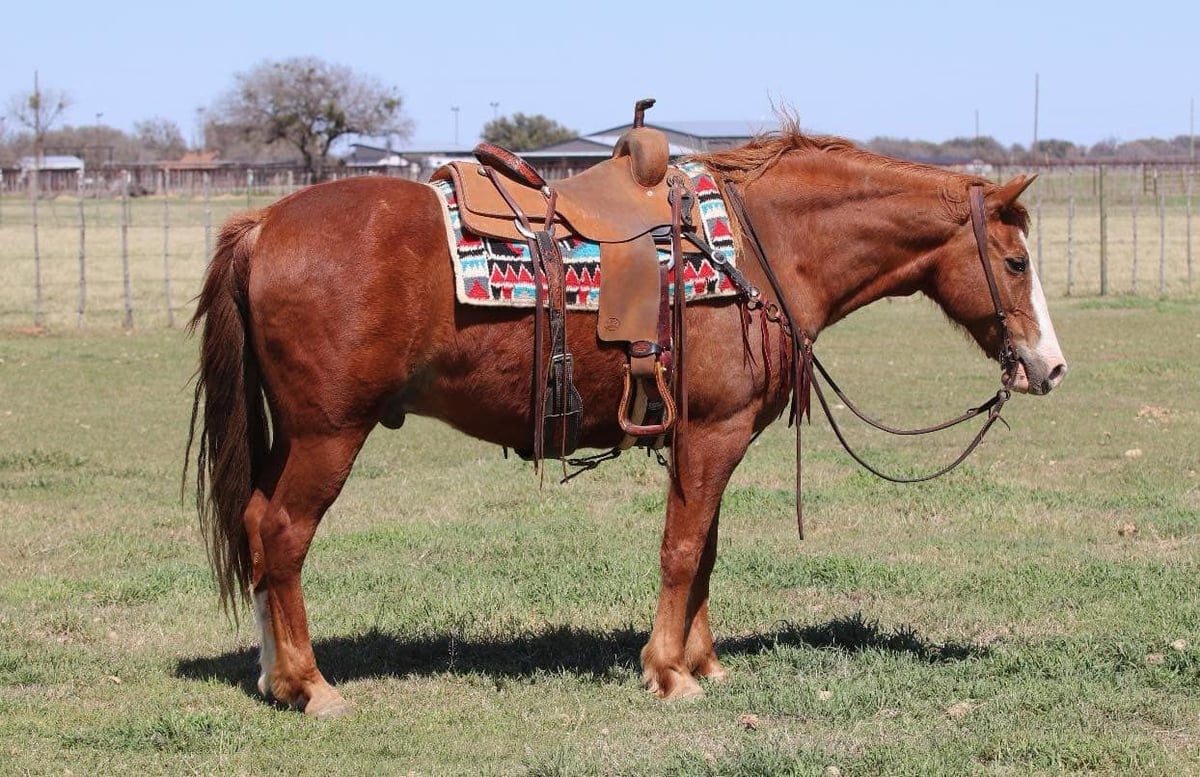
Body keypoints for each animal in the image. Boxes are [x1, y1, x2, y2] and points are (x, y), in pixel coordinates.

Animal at [187, 118, 1067, 718]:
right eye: (1016, 261)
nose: (1049, 365)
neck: (759, 247)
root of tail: (263, 224)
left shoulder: (707, 437)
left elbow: (706, 551)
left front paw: (705, 662)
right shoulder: (712, 432)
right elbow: (680, 551)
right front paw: (668, 671)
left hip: (293, 434)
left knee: (258, 524)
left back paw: (272, 675)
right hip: (329, 434)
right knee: (284, 535)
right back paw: (310, 685)